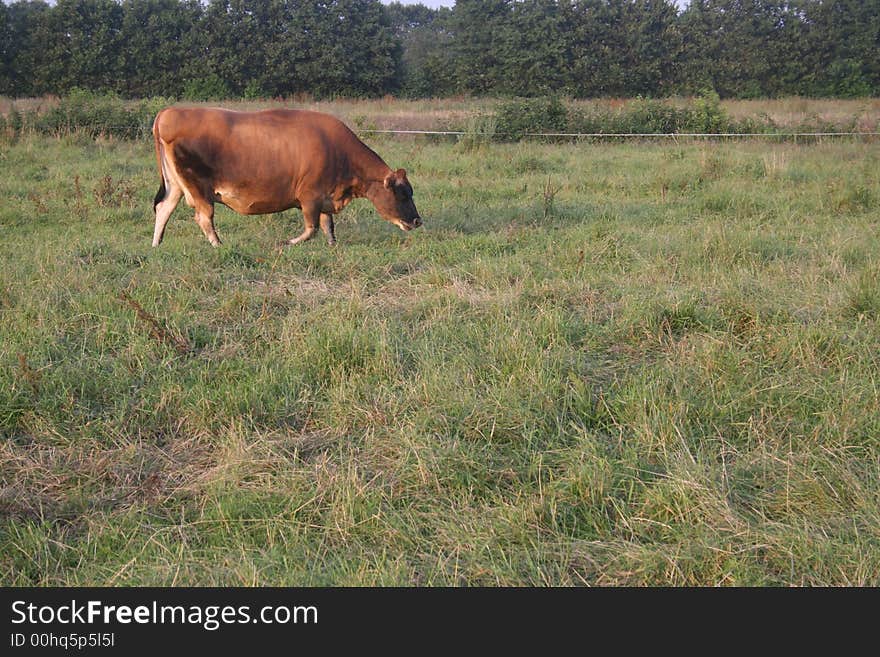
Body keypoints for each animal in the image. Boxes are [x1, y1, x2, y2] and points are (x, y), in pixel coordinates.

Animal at [152, 107, 422, 246]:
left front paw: (333, 245)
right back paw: (218, 244)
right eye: (402, 194)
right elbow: (312, 228)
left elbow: (328, 225)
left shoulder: (324, 196)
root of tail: (168, 112)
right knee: (204, 217)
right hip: (197, 187)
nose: (418, 221)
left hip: (176, 185)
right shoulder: (310, 197)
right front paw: (290, 243)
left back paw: (157, 244)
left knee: (164, 208)